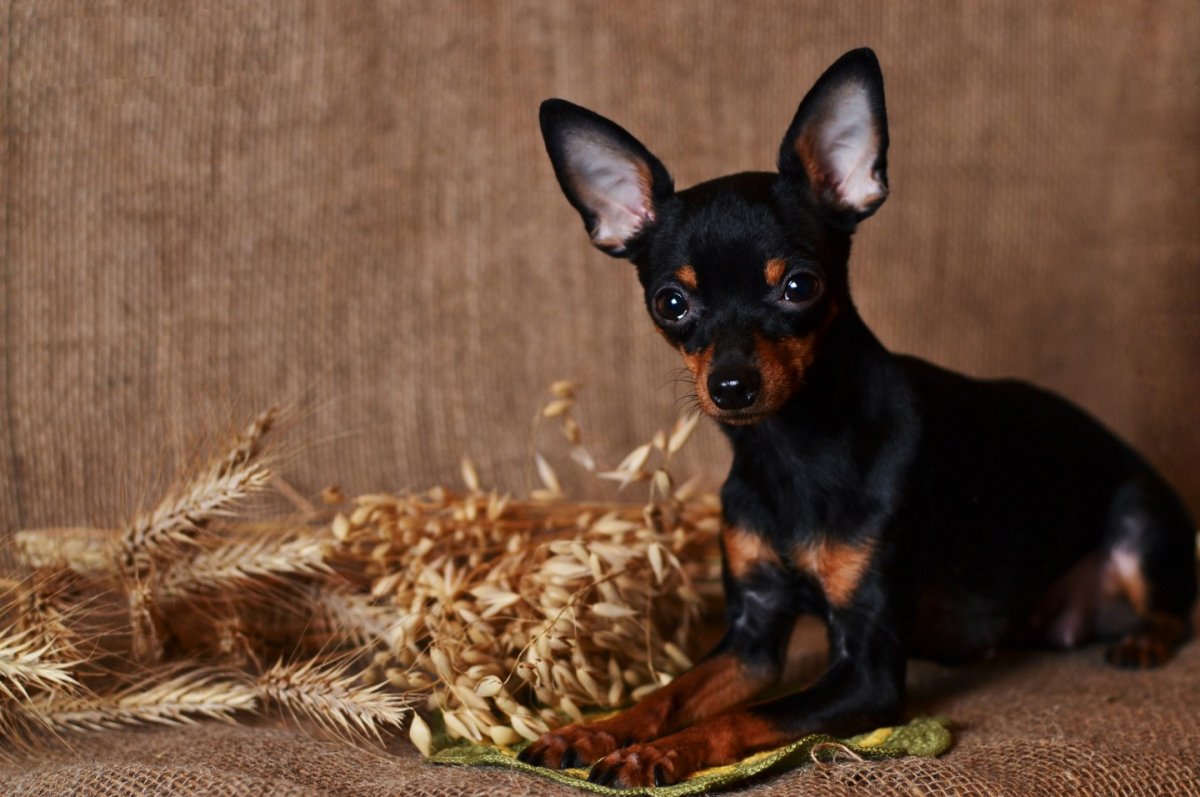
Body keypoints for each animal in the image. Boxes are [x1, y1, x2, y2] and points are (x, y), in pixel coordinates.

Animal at [520, 51, 1195, 792]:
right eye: (671, 302)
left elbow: (744, 718)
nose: (731, 385)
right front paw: (595, 729)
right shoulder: (752, 640)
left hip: (1139, 520)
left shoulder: (867, 673)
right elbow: (669, 693)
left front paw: (655, 753)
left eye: (800, 287)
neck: (792, 449)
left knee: (1173, 605)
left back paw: (1145, 638)